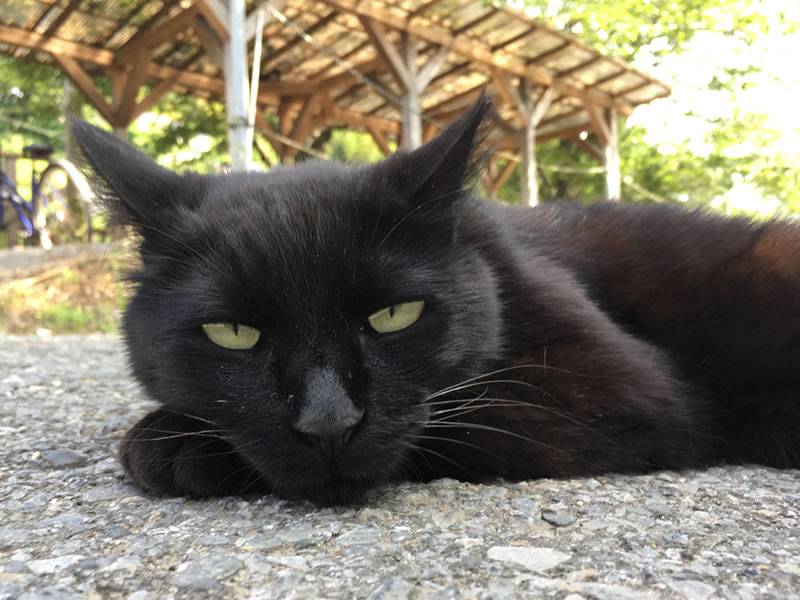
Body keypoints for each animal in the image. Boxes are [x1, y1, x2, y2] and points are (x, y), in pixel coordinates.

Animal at [72, 99, 796, 506]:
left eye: (394, 316)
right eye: (232, 333)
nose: (329, 424)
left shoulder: (619, 386)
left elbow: (461, 417)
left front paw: (172, 445)